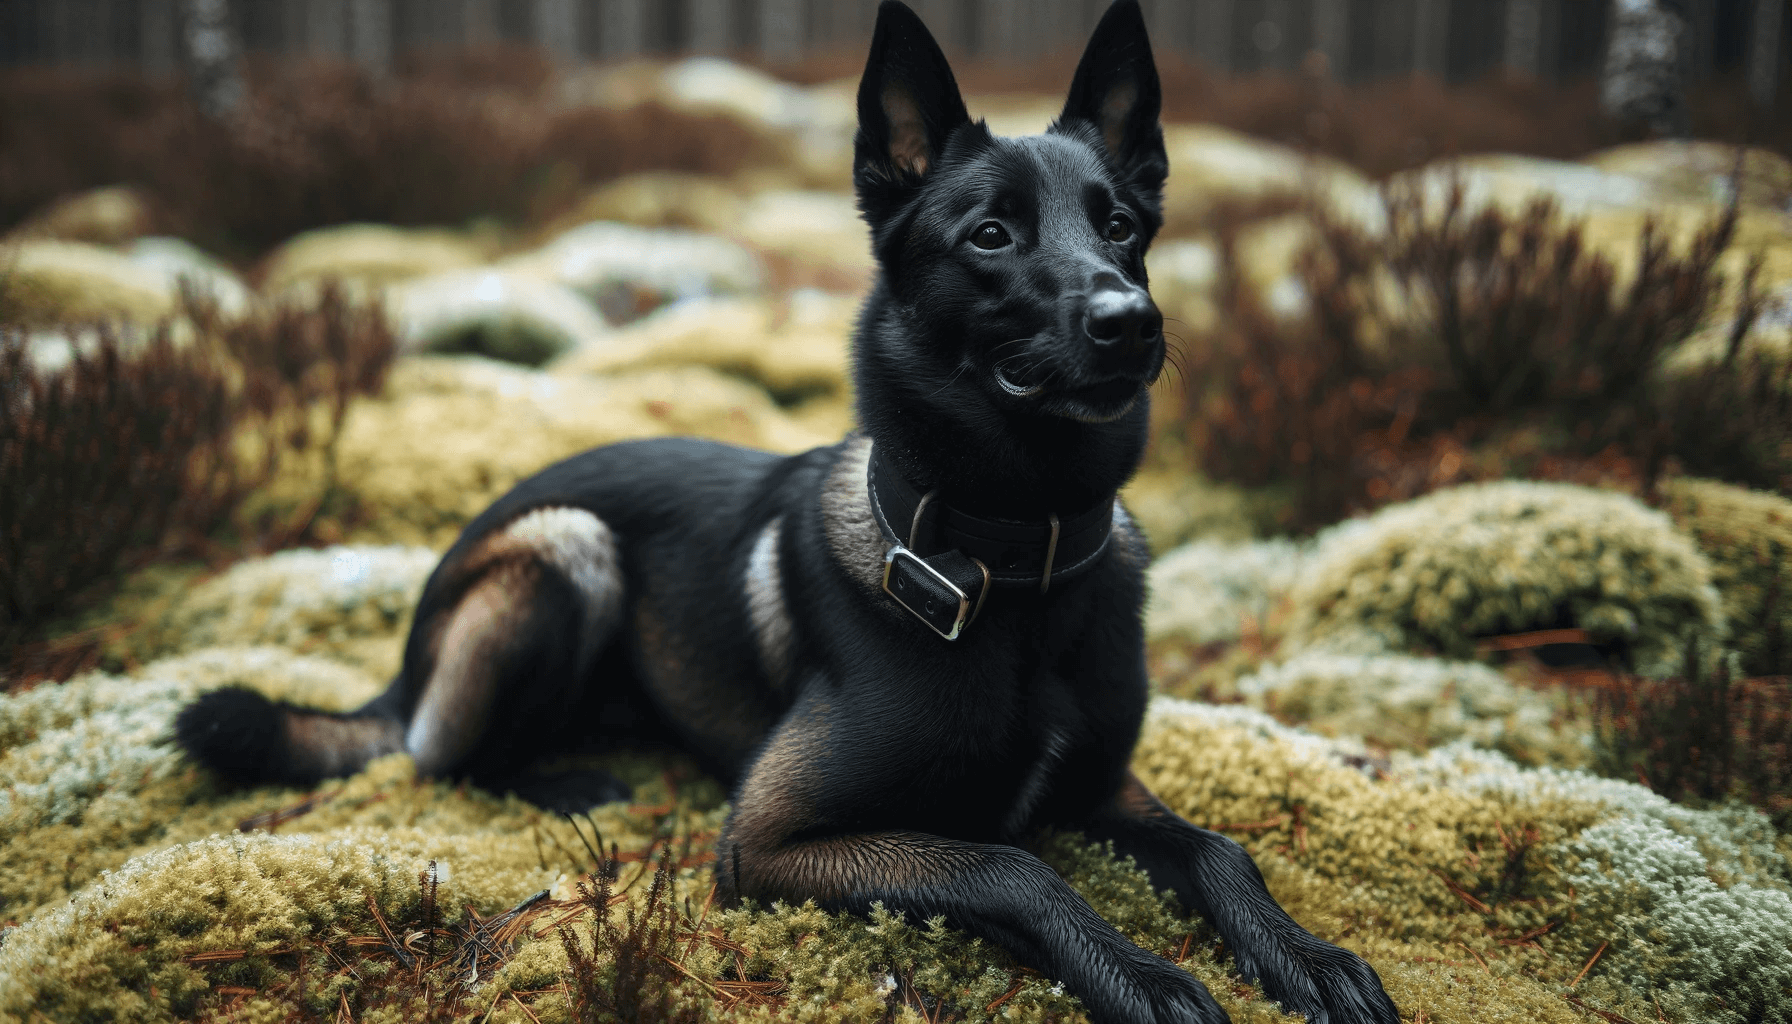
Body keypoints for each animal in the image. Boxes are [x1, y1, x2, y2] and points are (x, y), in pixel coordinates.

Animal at [178, 4, 1397, 1018]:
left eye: (1125, 226)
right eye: (990, 234)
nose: (1130, 320)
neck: (1012, 555)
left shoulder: (1107, 782)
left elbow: (1219, 849)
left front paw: (1305, 954)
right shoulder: (767, 843)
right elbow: (1009, 861)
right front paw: (1141, 974)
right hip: (565, 546)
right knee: (439, 753)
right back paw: (568, 776)